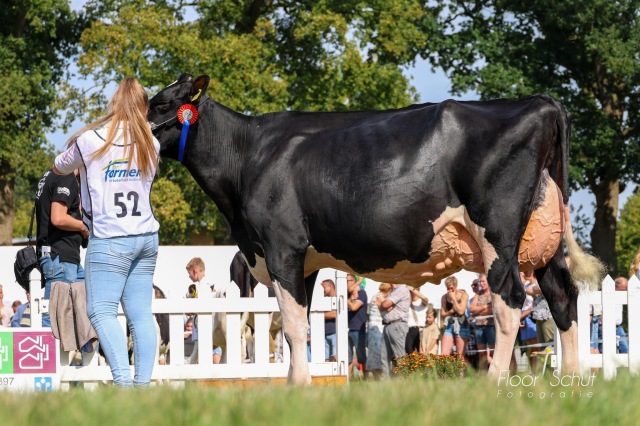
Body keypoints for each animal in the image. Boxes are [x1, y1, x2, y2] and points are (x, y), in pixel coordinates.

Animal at [150, 73, 604, 382]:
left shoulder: (282, 247)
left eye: (161, 104)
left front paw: (298, 388)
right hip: (543, 240)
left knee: (508, 300)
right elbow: (299, 327)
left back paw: (494, 384)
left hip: (499, 233)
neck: (248, 156)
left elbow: (294, 328)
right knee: (562, 297)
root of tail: (541, 103)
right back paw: (572, 382)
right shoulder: (305, 261)